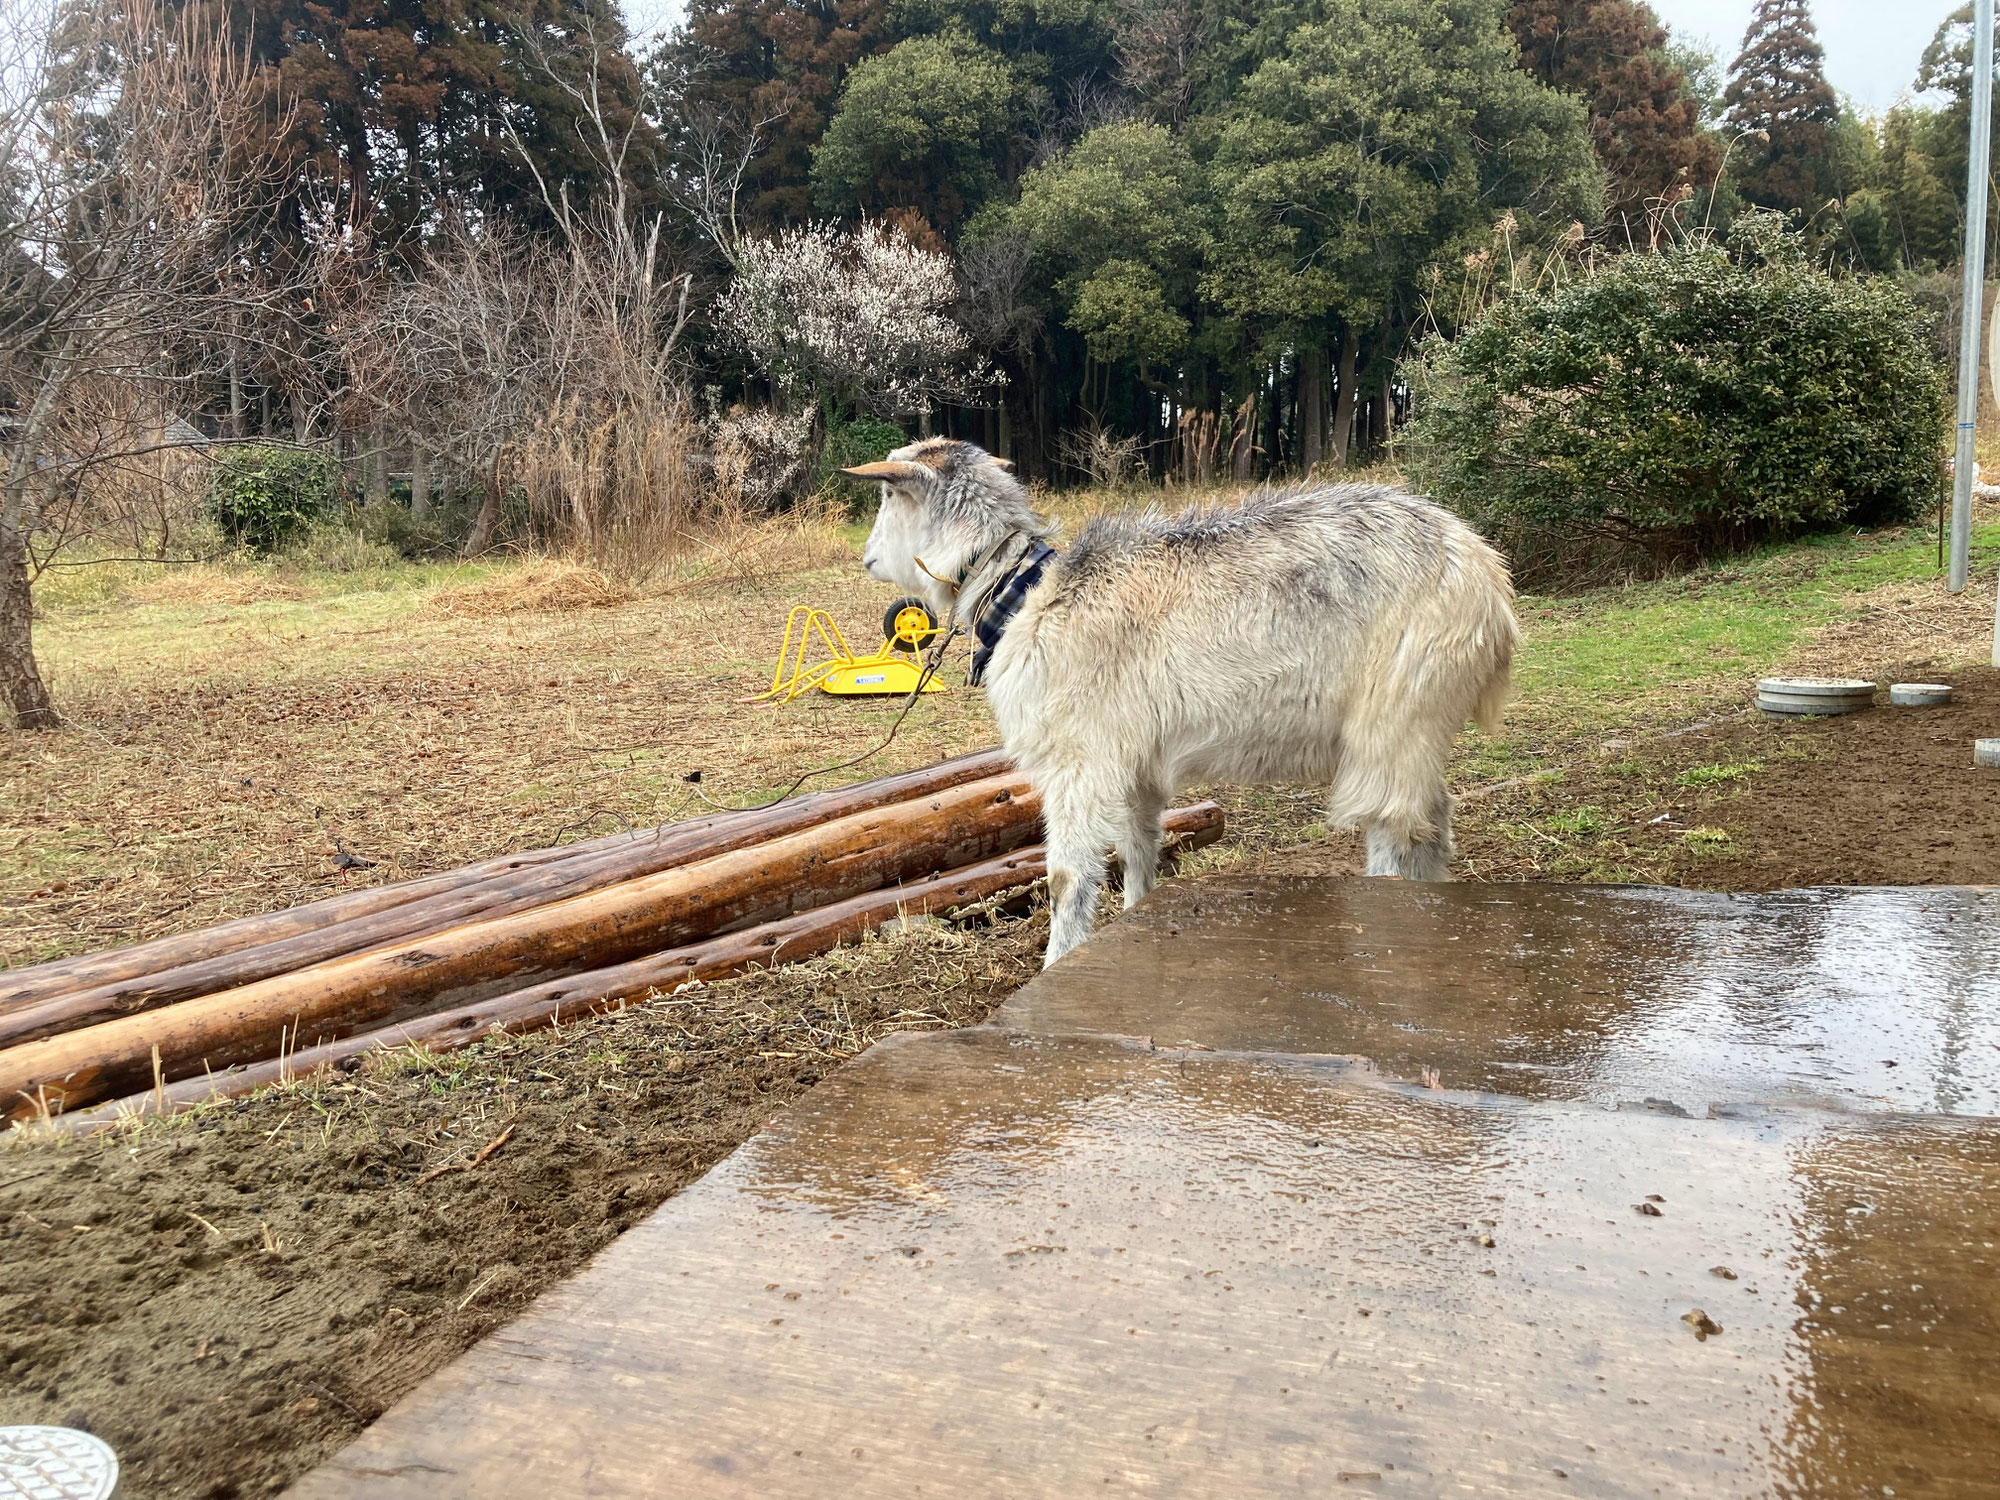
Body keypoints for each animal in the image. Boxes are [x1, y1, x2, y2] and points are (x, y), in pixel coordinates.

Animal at [844, 440, 1512, 968]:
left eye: (887, 495)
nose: (867, 557)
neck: (1023, 596)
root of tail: (1490, 579)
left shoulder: (1079, 760)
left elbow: (1066, 878)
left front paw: (1059, 963)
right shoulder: (1133, 762)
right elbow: (1140, 849)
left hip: (1396, 709)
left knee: (1396, 826)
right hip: (1418, 722)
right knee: (1432, 819)